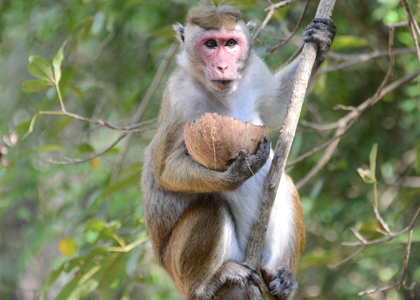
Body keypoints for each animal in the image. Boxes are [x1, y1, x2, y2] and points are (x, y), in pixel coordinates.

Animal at [141, 2, 334, 300]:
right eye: (210, 44)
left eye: (231, 43)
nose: (222, 66)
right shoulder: (179, 96)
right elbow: (164, 170)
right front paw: (235, 174)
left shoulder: (254, 74)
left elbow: (278, 105)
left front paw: (322, 41)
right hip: (178, 268)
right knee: (210, 206)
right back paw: (210, 285)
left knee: (285, 185)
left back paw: (282, 279)